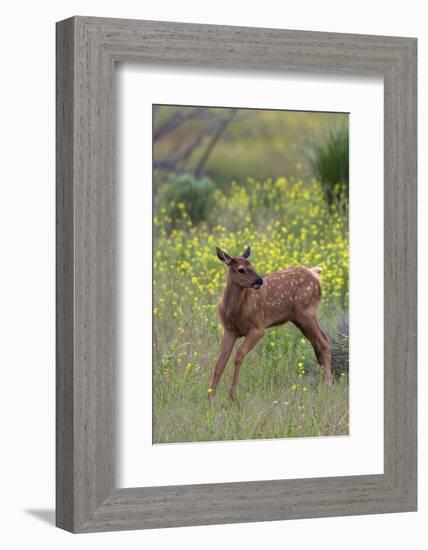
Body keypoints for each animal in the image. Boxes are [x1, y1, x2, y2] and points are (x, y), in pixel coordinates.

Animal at [209, 247, 332, 402]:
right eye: (241, 269)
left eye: (252, 266)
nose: (259, 281)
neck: (236, 312)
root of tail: (315, 273)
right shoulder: (230, 330)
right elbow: (220, 362)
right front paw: (210, 396)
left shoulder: (258, 327)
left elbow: (239, 355)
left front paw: (232, 395)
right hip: (300, 318)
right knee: (317, 343)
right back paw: (322, 381)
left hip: (307, 312)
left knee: (324, 342)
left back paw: (327, 384)